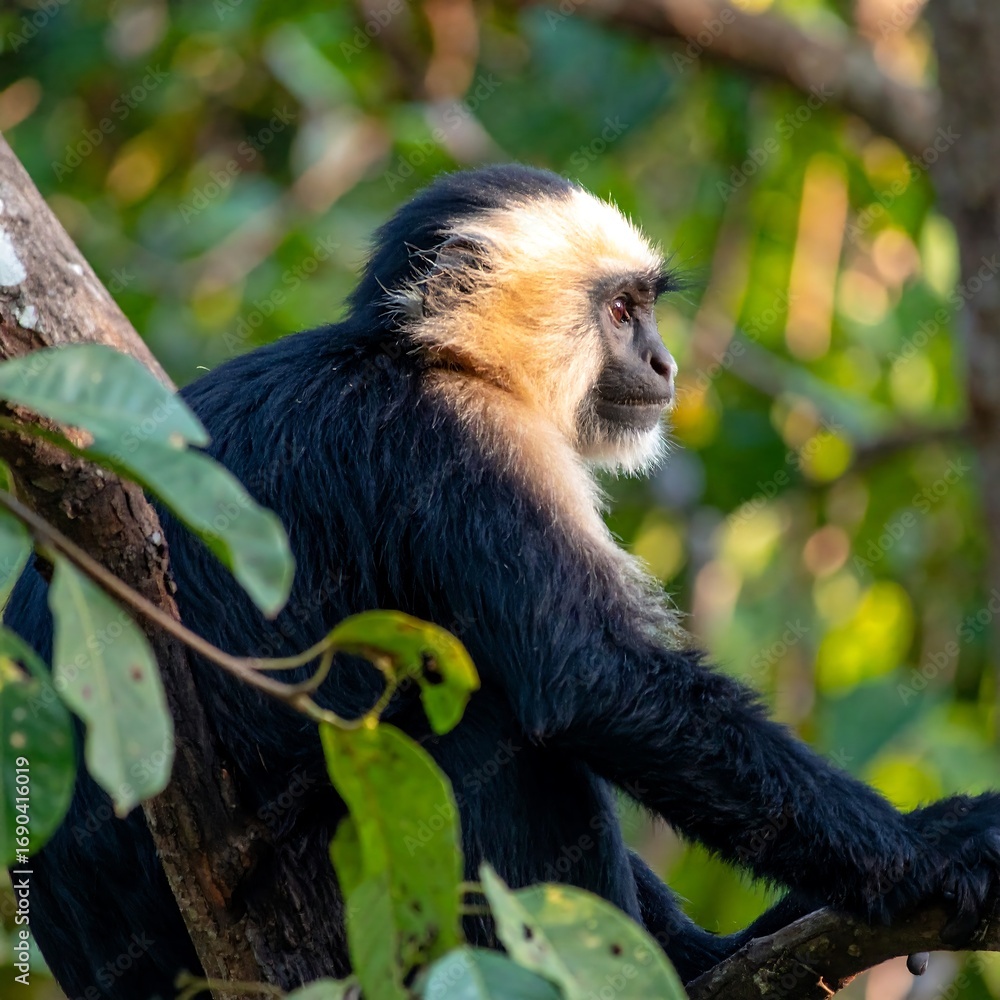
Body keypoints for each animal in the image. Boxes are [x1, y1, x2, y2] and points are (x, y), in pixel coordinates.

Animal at [6, 164, 1000, 998]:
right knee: (488, 724)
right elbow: (590, 684)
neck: (423, 357)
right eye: (622, 312)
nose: (665, 365)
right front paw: (929, 851)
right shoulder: (463, 444)